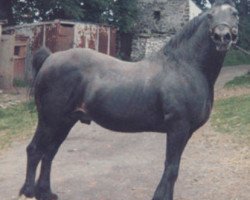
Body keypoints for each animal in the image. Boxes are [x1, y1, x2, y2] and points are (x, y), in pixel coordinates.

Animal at [19, 0, 238, 199]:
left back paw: (45, 193)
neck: (185, 67)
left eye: (234, 13)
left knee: (49, 153)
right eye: (210, 15)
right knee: (35, 150)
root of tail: (50, 59)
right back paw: (29, 191)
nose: (222, 37)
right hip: (50, 120)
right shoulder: (178, 127)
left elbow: (173, 167)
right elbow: (171, 167)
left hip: (65, 121)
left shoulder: (187, 131)